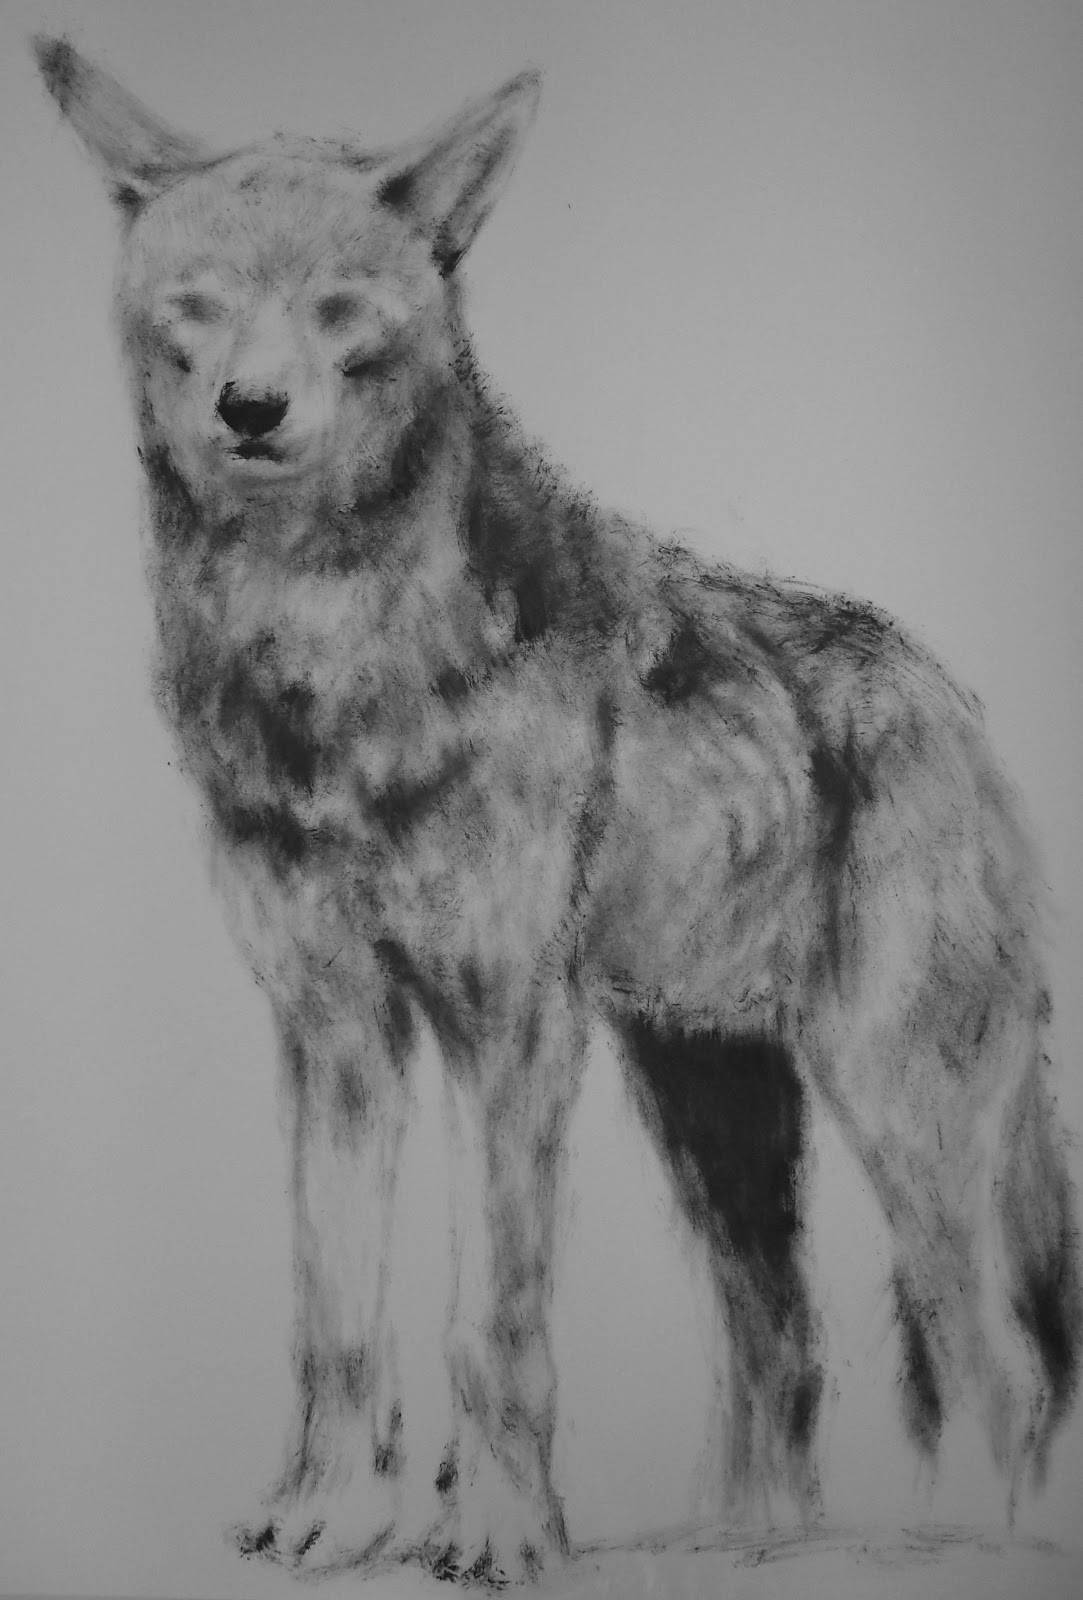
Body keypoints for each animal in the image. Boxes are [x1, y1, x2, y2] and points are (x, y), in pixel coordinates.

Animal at [37, 35, 1079, 1584]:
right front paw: (328, 1516)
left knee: (997, 1371)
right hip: (717, 1121)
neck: (331, 657)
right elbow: (335, 1321)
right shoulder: (334, 1033)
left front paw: (498, 1533)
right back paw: (745, 1538)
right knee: (785, 1354)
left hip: (903, 1116)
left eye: (337, 305)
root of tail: (944, 694)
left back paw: (969, 1544)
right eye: (199, 305)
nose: (249, 410)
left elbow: (494, 1324)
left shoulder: (507, 1025)